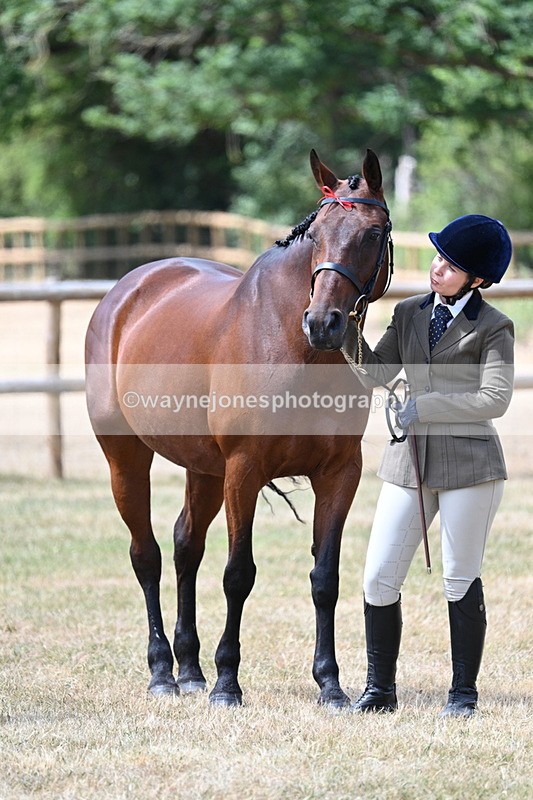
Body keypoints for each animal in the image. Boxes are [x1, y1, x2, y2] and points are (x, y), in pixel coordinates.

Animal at [85, 148, 393, 708]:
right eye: (316, 234)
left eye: (373, 234)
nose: (323, 323)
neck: (294, 349)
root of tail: (125, 292)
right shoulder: (243, 471)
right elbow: (238, 575)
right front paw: (228, 683)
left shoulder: (340, 472)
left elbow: (325, 577)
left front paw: (331, 684)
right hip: (127, 458)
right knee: (147, 555)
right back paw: (162, 673)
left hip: (203, 469)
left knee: (186, 545)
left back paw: (189, 668)